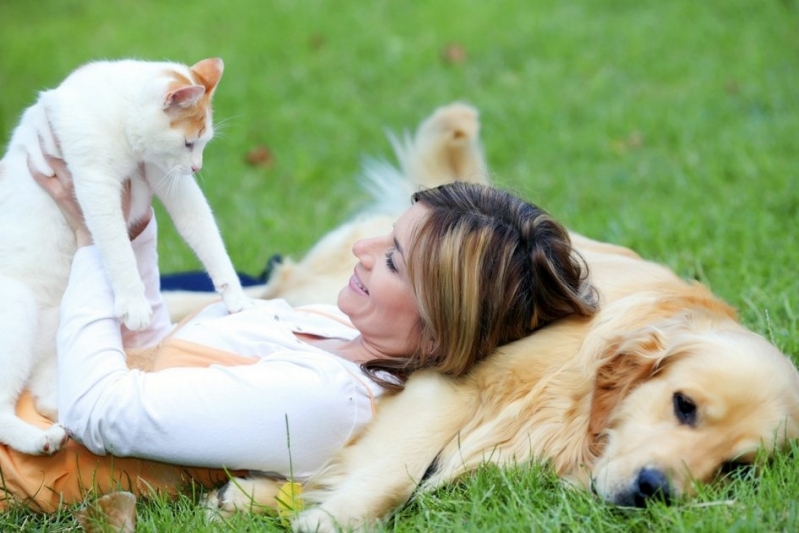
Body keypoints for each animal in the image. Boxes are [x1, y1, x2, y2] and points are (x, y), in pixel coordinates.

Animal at [0, 59, 250, 458]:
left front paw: (235, 295)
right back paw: (38, 439)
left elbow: (203, 230)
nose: (196, 168)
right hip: (16, 312)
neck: (120, 116)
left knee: (47, 397)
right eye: (189, 142)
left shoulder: (168, 177)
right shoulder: (96, 187)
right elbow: (116, 247)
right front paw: (134, 303)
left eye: (202, 144)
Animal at [184, 102, 799, 528]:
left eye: (739, 467)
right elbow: (396, 471)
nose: (654, 489)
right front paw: (331, 518)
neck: (576, 404)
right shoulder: (452, 384)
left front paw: (259, 495)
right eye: (684, 405)